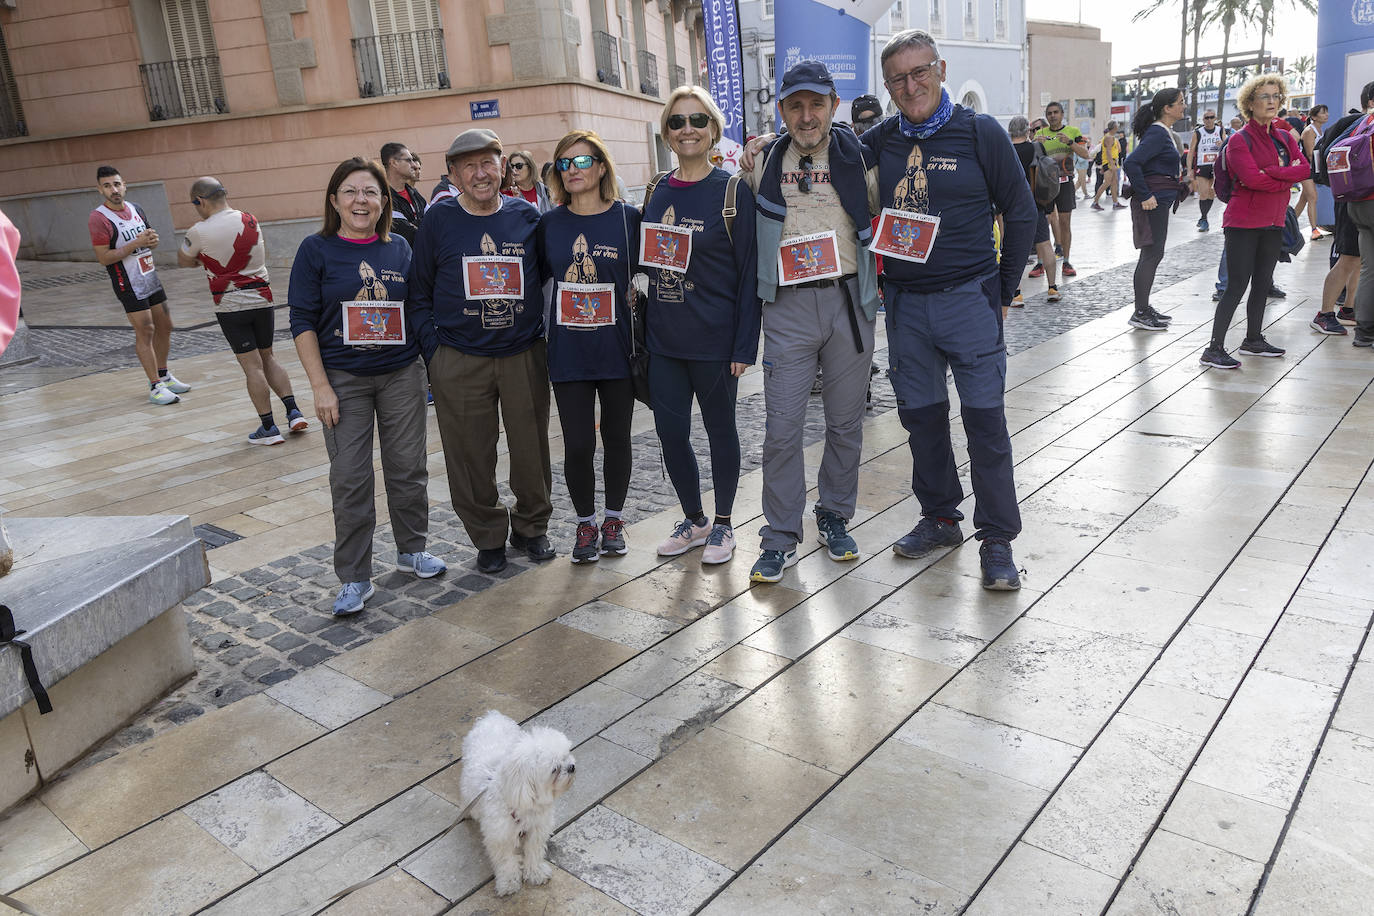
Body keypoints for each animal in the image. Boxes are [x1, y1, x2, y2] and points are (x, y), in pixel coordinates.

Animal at [456, 708, 574, 895]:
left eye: (567, 755)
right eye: (554, 769)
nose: (571, 767)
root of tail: (492, 716)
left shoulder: (536, 830)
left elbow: (534, 852)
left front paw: (536, 873)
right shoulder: (500, 836)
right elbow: (506, 861)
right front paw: (509, 882)